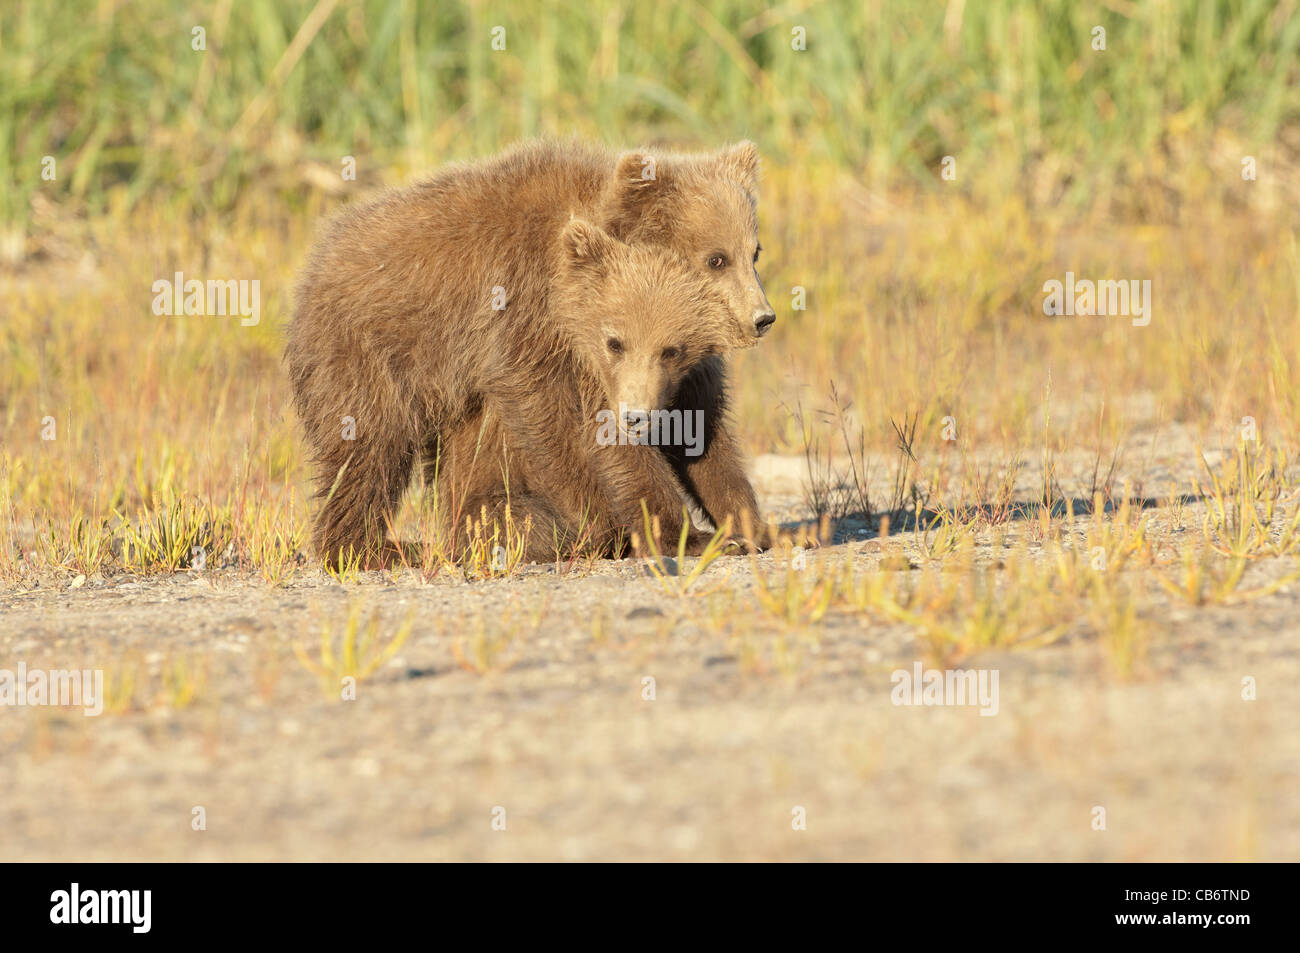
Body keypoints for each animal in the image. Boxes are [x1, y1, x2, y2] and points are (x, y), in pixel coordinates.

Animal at [437, 218, 760, 562]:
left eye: (672, 351)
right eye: (614, 344)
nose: (635, 418)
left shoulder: (691, 381)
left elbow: (702, 438)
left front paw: (750, 529)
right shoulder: (577, 371)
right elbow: (606, 448)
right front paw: (695, 538)